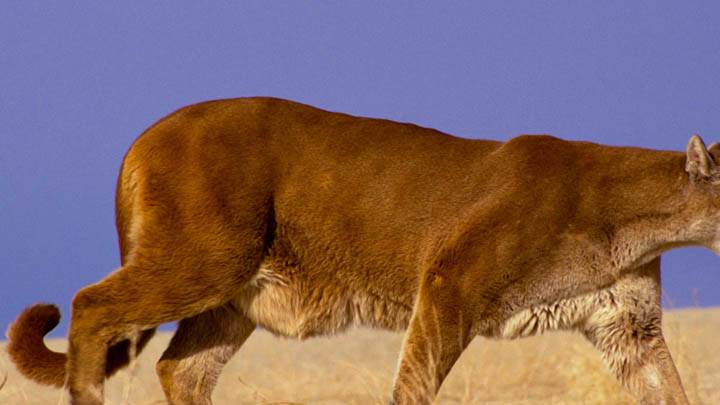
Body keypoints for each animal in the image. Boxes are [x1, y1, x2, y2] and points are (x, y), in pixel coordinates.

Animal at [7, 97, 719, 404]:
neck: (636, 221)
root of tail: (151, 127)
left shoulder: (629, 328)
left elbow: (669, 392)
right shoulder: (448, 289)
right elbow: (413, 384)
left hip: (233, 295)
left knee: (182, 369)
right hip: (203, 260)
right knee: (90, 306)